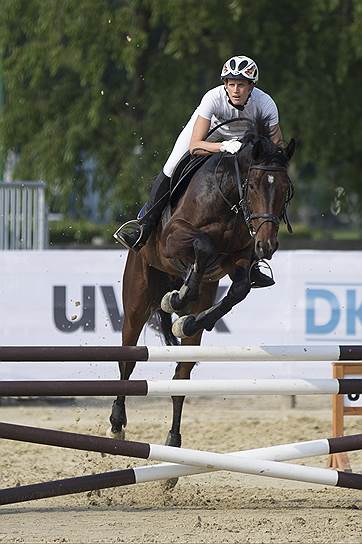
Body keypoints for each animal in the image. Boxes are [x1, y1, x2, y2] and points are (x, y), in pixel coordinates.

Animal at [108, 112, 294, 466]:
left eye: (285, 189)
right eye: (252, 185)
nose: (267, 246)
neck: (228, 199)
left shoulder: (239, 259)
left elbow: (239, 289)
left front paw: (188, 318)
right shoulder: (174, 238)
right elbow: (203, 246)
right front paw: (177, 299)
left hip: (199, 307)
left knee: (181, 375)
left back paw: (174, 442)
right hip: (137, 295)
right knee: (128, 359)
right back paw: (116, 424)